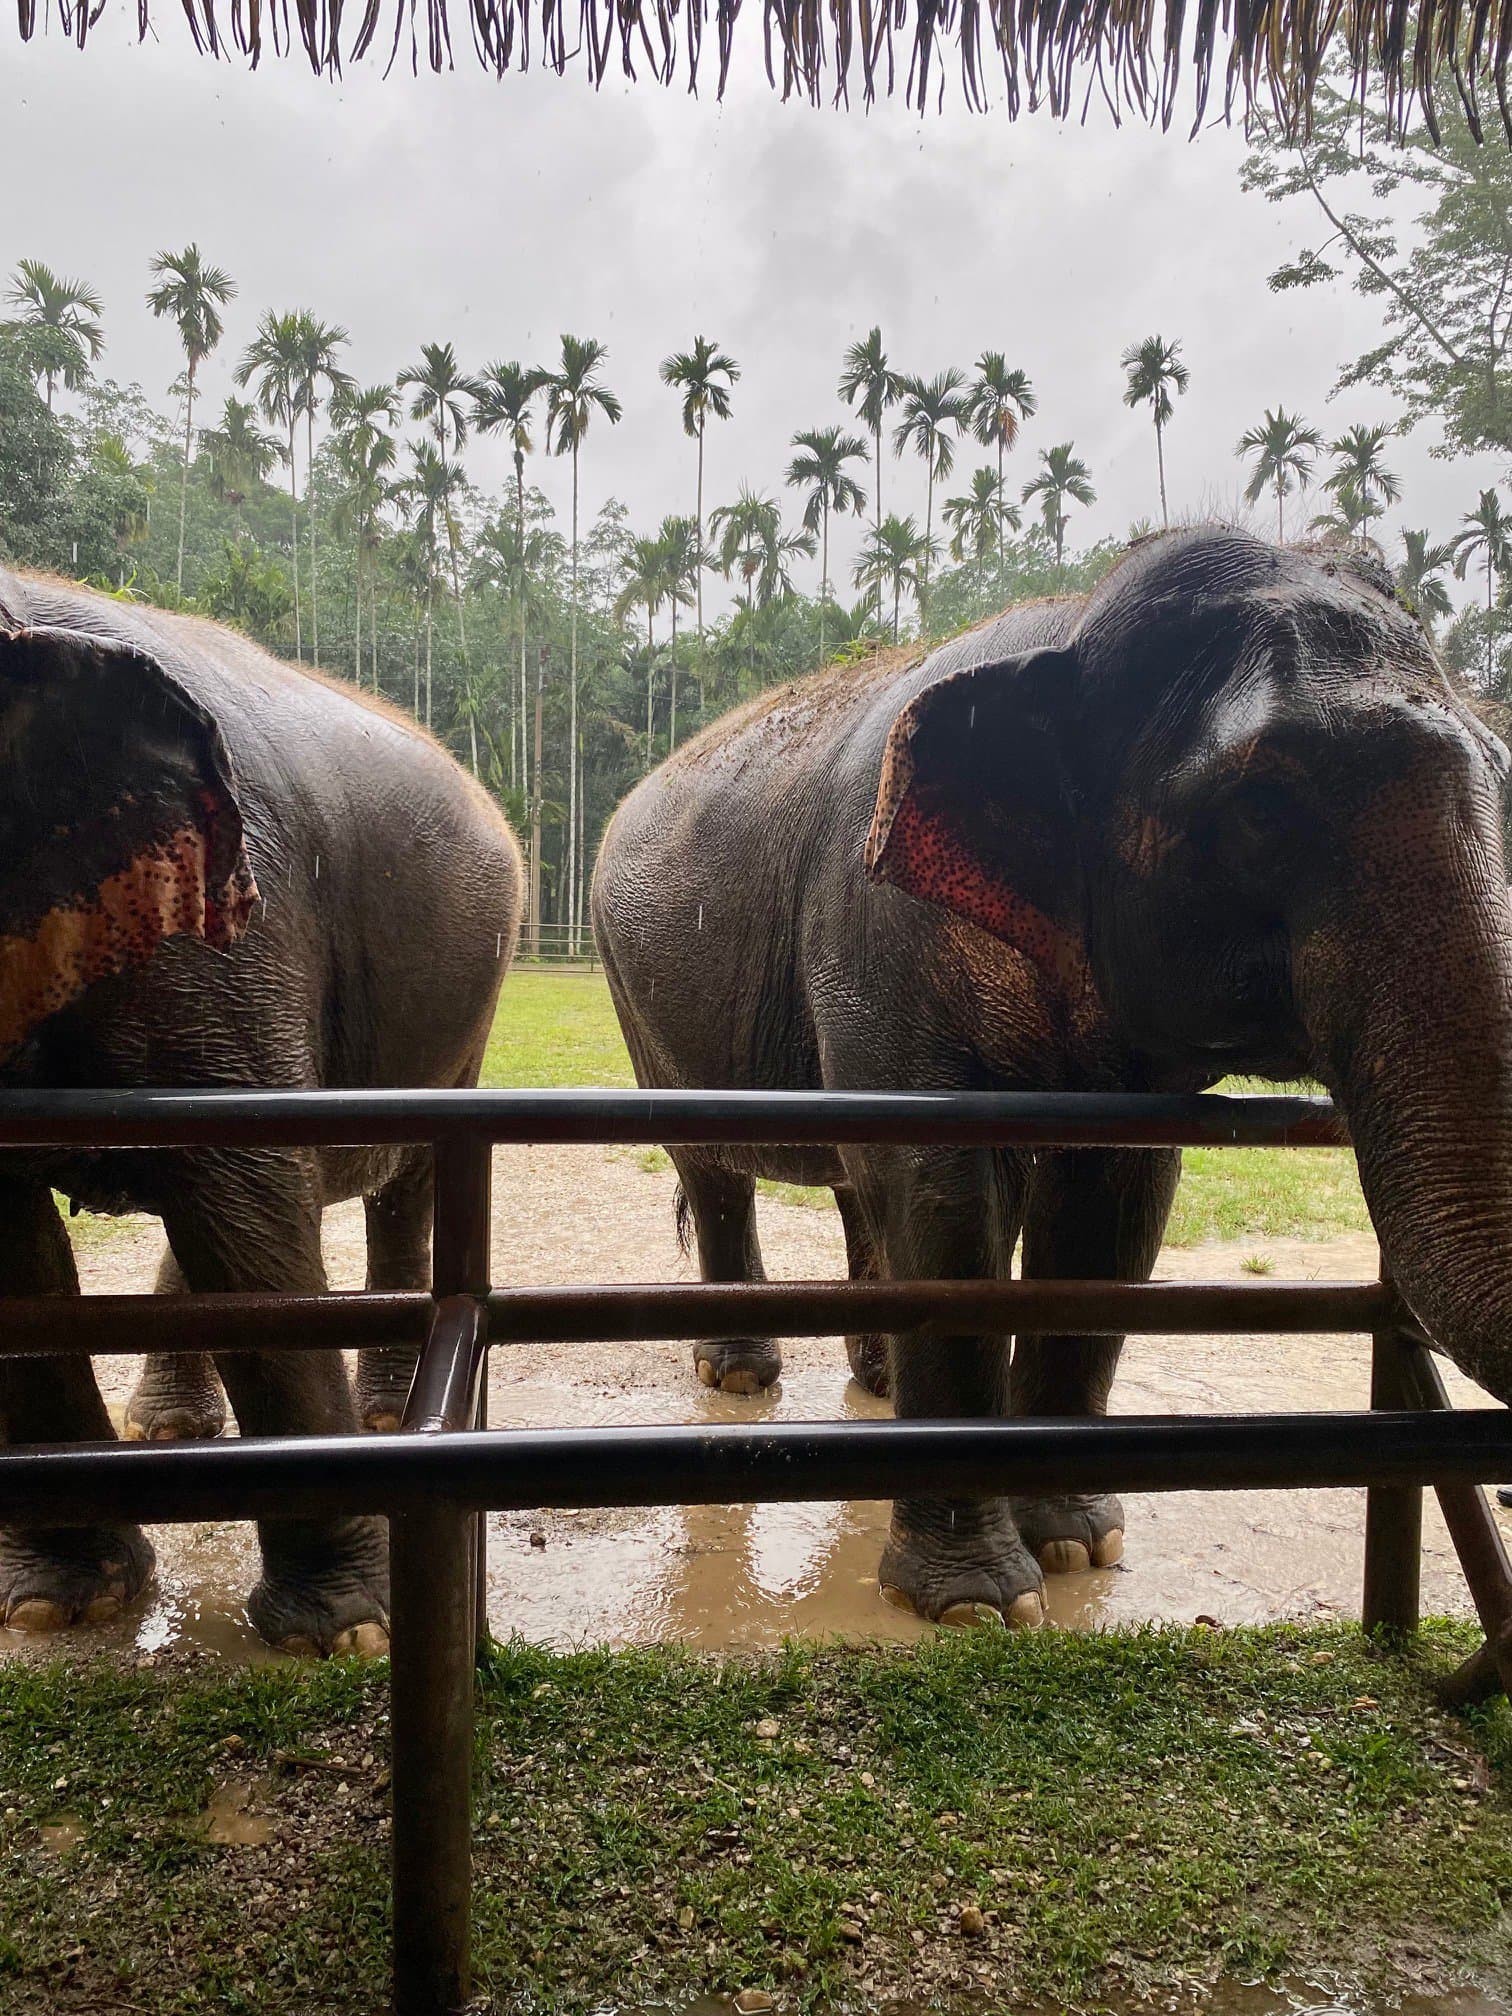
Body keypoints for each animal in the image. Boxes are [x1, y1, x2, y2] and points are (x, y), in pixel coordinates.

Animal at [0, 568, 524, 1653]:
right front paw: (60, 1606)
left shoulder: (230, 918)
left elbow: (244, 1193)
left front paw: (345, 1634)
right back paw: (168, 1429)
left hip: (462, 1007)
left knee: (392, 1178)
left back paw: (382, 1419)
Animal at [592, 528, 1512, 1628]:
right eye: (1261, 804)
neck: (1071, 626)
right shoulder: (875, 929)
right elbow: (943, 1195)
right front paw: (973, 1605)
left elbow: (1111, 1207)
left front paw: (1079, 1547)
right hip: (638, 994)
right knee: (717, 1169)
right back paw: (740, 1379)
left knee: (854, 1183)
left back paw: (879, 1386)